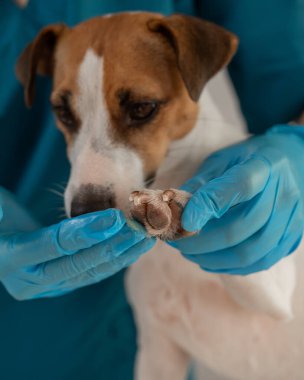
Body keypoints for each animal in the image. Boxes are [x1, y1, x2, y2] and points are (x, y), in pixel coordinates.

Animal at [16, 11, 304, 380]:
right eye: (62, 112)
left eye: (142, 108)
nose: (85, 210)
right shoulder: (158, 352)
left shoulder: (275, 287)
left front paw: (174, 210)